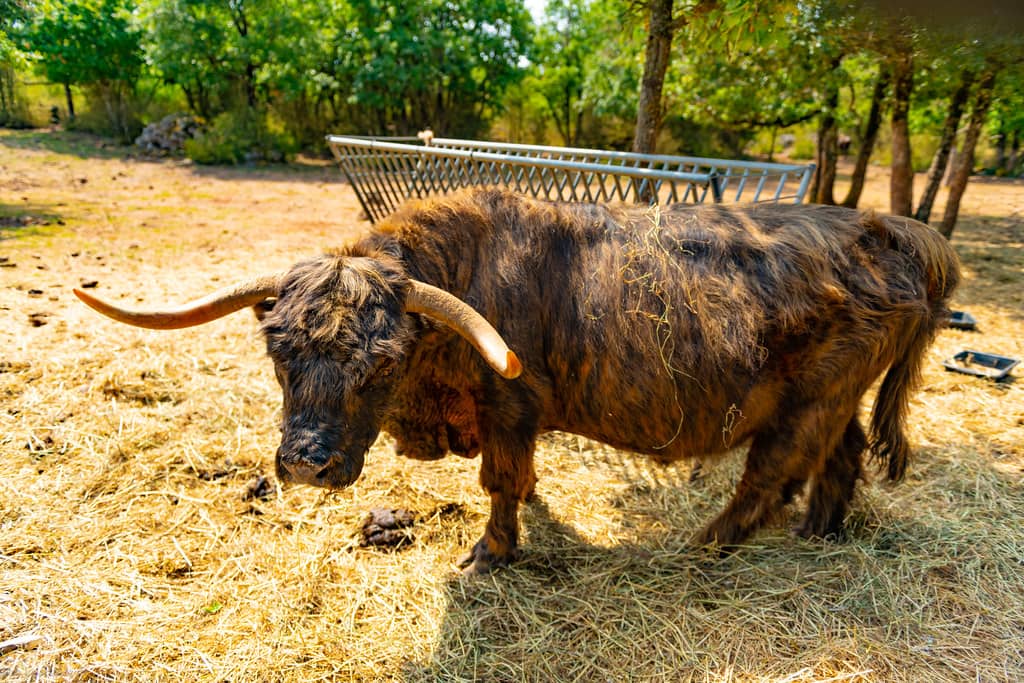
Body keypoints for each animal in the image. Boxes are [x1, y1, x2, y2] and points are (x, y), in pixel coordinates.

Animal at [75, 188, 960, 575]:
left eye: (382, 362)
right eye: (277, 350)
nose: (305, 465)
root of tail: (895, 228)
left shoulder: (508, 405)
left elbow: (500, 481)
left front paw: (491, 552)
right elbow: (522, 478)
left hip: (809, 397)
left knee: (770, 473)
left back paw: (703, 547)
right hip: (834, 395)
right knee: (839, 457)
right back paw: (821, 534)